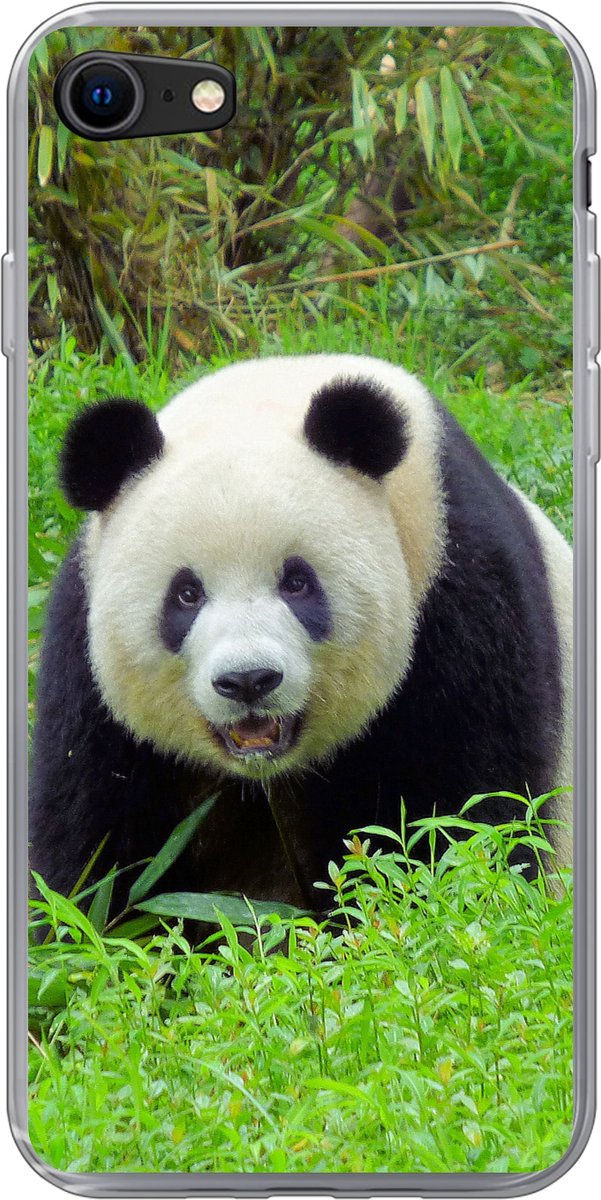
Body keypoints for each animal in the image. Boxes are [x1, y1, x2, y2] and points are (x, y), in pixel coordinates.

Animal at [30, 353, 572, 912]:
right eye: (186, 594)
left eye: (296, 582)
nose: (248, 681)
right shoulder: (86, 662)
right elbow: (92, 841)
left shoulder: (462, 592)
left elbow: (471, 807)